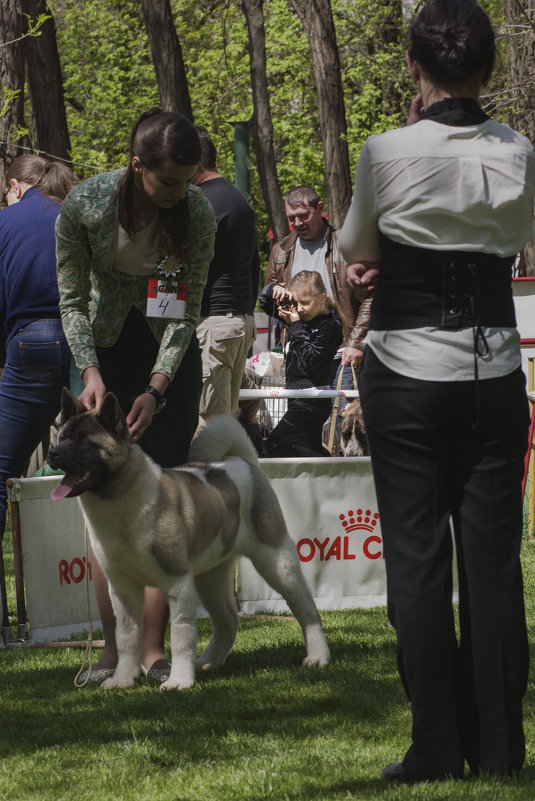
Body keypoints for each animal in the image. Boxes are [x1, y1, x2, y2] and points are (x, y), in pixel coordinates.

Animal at [47, 388, 330, 688]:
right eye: (62, 437)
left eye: (84, 441)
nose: (52, 453)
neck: (120, 495)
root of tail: (243, 462)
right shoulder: (122, 590)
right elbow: (126, 636)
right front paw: (122, 679)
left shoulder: (177, 582)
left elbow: (181, 635)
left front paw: (179, 681)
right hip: (210, 578)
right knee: (228, 619)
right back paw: (208, 662)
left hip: (275, 560)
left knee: (307, 609)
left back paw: (317, 656)